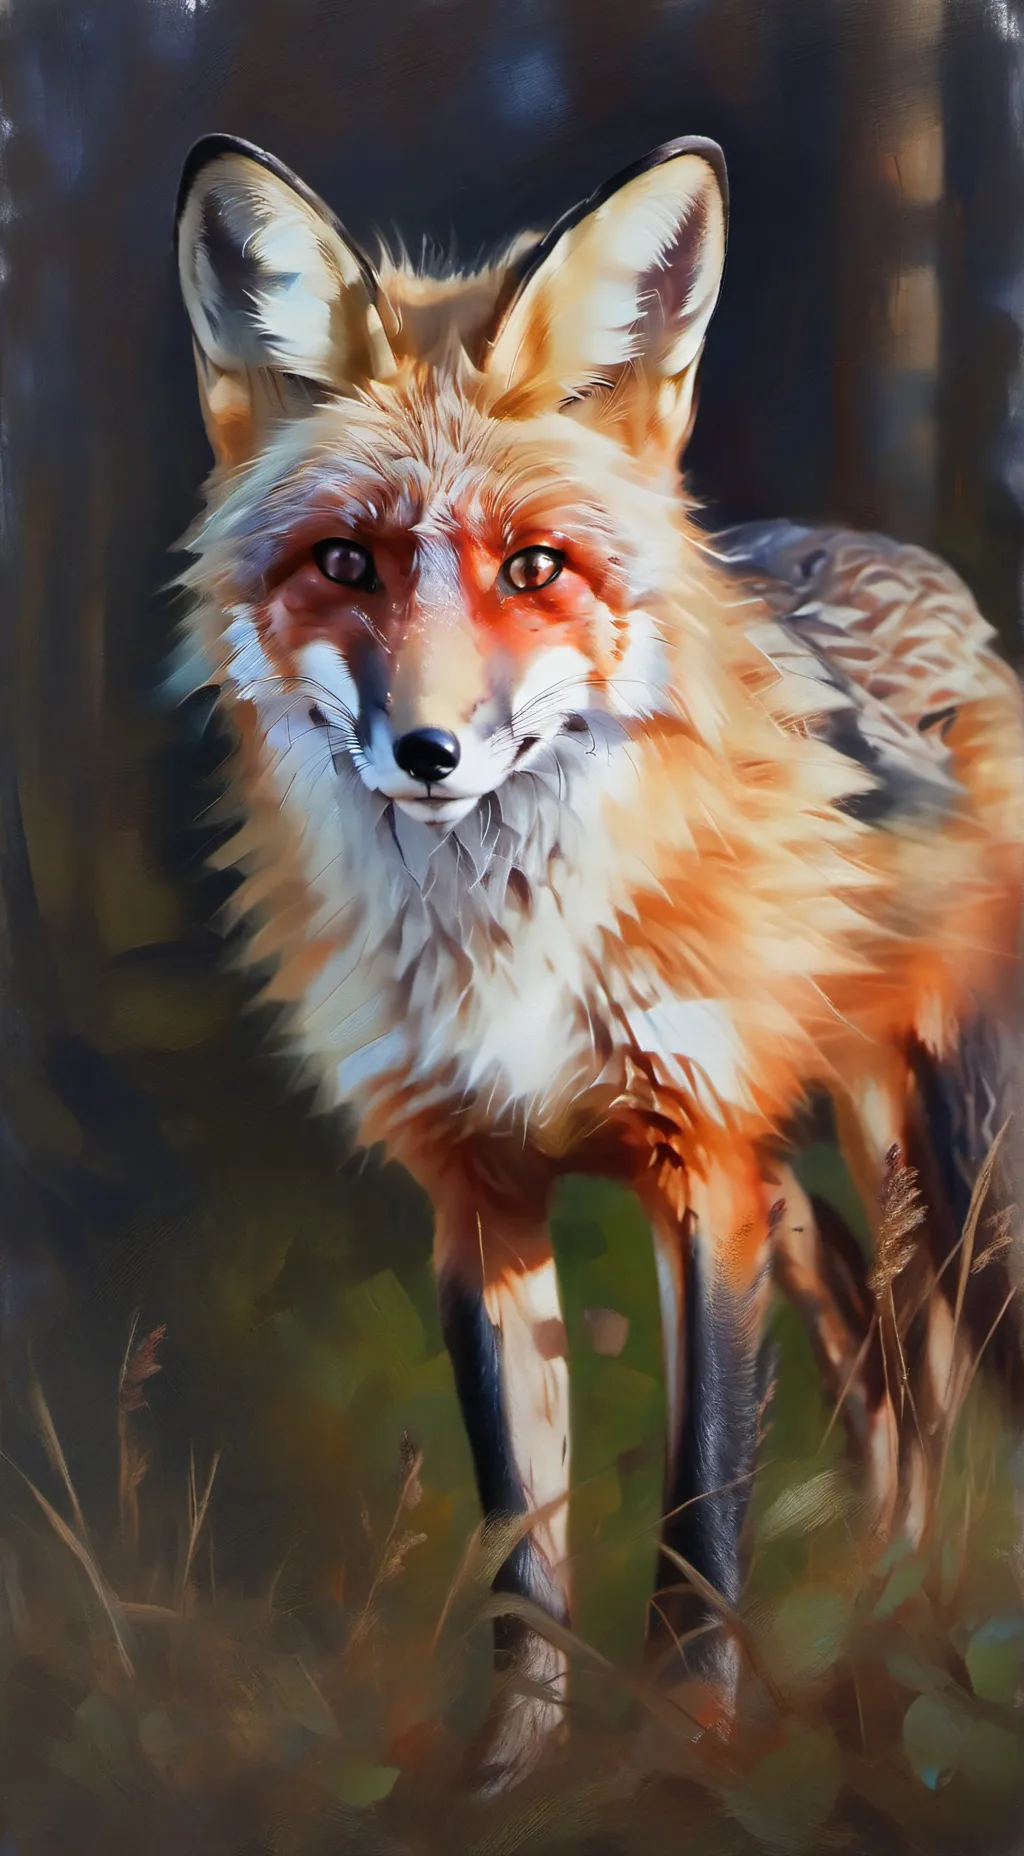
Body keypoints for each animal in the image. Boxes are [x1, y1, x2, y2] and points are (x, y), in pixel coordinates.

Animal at [172, 131, 1024, 1785]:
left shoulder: (702, 1173)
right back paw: (884, 1617)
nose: (427, 752)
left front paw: (684, 1761)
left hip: (951, 1161)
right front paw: (513, 1783)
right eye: (346, 562)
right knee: (887, 1378)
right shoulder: (477, 1193)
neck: (507, 947)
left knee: (931, 1372)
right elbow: (524, 1547)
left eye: (535, 568)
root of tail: (905, 559)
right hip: (818, 1194)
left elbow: (699, 1514)